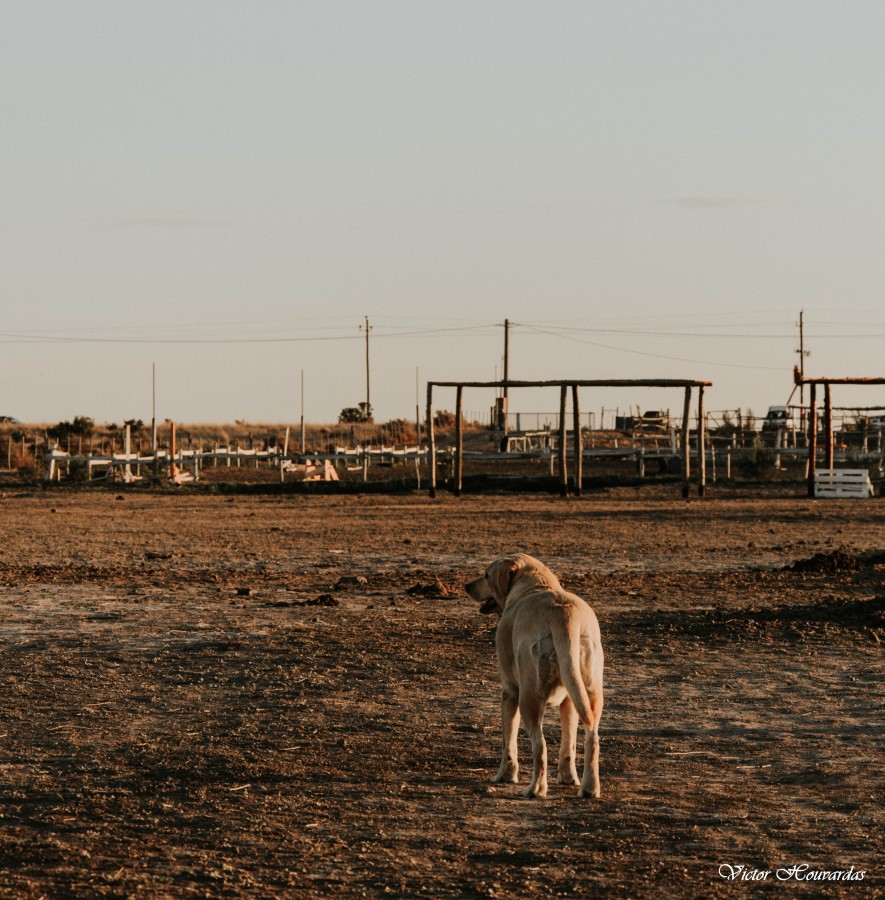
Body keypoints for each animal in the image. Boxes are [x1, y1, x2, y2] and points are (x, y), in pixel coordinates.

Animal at [466, 552, 604, 800]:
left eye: (486, 575)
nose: (466, 586)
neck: (536, 585)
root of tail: (564, 617)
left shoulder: (509, 692)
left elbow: (508, 741)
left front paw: (505, 775)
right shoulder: (569, 702)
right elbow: (568, 745)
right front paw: (568, 779)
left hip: (528, 699)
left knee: (540, 746)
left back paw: (535, 789)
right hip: (590, 694)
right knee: (592, 739)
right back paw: (589, 788)